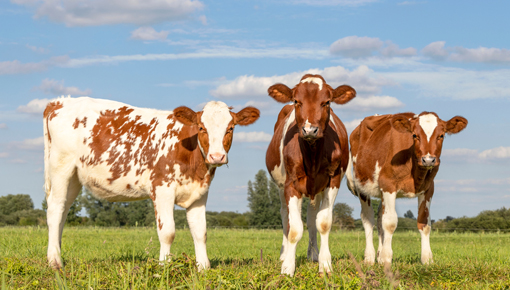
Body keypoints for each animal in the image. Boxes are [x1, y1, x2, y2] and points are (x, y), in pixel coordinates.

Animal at [42, 97, 258, 270]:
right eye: (201, 128)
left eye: (231, 128)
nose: (217, 156)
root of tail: (59, 102)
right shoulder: (162, 189)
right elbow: (167, 232)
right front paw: (164, 266)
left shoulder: (200, 193)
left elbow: (200, 232)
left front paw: (203, 268)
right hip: (61, 167)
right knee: (54, 210)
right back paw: (54, 262)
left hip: (74, 178)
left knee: (63, 211)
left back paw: (58, 254)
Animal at [264, 73, 356, 276]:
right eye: (296, 101)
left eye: (327, 102)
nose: (309, 130)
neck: (312, 153)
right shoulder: (290, 184)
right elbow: (294, 229)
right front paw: (287, 267)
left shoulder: (333, 181)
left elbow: (323, 222)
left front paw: (325, 264)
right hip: (280, 187)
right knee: (285, 216)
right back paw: (284, 254)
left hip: (317, 189)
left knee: (312, 216)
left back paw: (313, 254)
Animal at [344, 112, 468, 266]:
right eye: (414, 135)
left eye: (441, 135)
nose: (428, 160)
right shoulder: (388, 185)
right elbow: (390, 223)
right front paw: (387, 259)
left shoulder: (428, 189)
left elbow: (424, 223)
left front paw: (427, 259)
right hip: (362, 186)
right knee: (368, 219)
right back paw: (370, 258)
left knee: (379, 219)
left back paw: (379, 255)